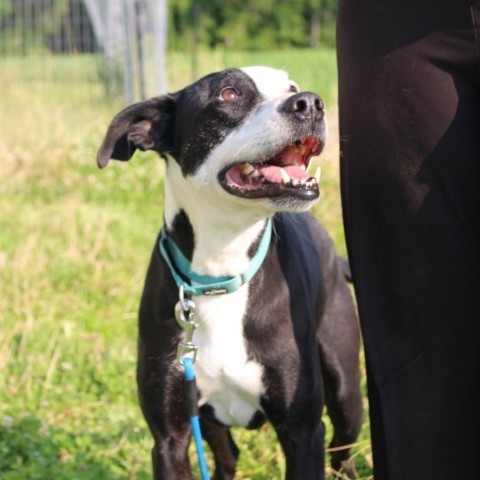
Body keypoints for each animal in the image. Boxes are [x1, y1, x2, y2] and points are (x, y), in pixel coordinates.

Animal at [96, 65, 360, 478]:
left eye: (292, 87)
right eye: (229, 94)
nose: (311, 103)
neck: (220, 268)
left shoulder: (303, 433)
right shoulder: (169, 439)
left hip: (346, 389)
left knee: (342, 449)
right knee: (228, 453)